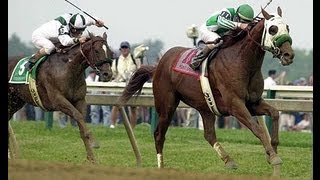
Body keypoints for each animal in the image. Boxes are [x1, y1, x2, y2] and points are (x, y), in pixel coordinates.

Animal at [7, 32, 114, 163]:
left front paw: (92, 158)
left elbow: (81, 125)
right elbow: (78, 116)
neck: (68, 68)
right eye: (97, 50)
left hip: (16, 101)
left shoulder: (80, 100)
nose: (107, 74)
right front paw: (94, 142)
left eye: (109, 51)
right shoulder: (58, 100)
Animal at [119, 7, 294, 176]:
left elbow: (275, 113)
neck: (243, 62)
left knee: (209, 134)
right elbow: (256, 128)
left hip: (205, 106)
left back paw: (229, 161)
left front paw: (272, 151)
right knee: (159, 135)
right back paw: (161, 167)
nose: (289, 55)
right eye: (272, 29)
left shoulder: (253, 103)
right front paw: (274, 157)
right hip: (166, 105)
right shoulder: (235, 105)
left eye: (287, 27)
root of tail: (157, 66)